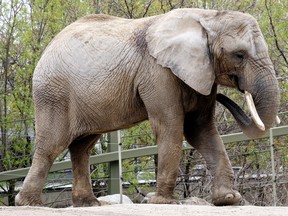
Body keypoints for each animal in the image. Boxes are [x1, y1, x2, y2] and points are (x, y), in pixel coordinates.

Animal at [15, 8, 280, 207]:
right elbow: (171, 127)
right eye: (239, 55)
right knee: (53, 145)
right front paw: (160, 201)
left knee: (83, 147)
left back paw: (89, 204)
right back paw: (28, 203)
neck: (207, 17)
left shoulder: (202, 72)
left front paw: (228, 199)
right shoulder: (157, 72)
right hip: (54, 93)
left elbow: (201, 130)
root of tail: (48, 47)